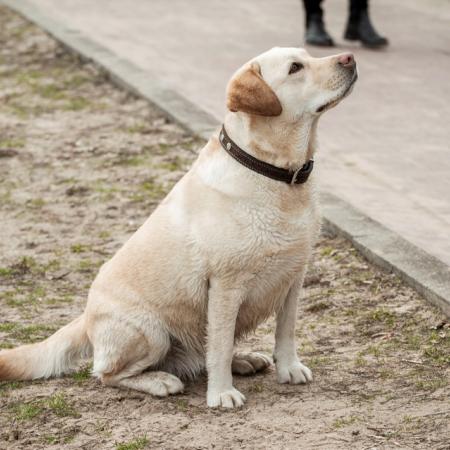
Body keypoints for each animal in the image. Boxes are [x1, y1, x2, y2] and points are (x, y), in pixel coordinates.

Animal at [0, 45, 358, 408]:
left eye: (307, 55)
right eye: (295, 68)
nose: (349, 58)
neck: (276, 174)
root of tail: (86, 316)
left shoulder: (294, 276)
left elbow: (285, 331)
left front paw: (289, 369)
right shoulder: (225, 284)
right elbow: (219, 346)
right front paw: (221, 393)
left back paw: (243, 360)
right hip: (150, 332)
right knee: (107, 374)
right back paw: (161, 381)